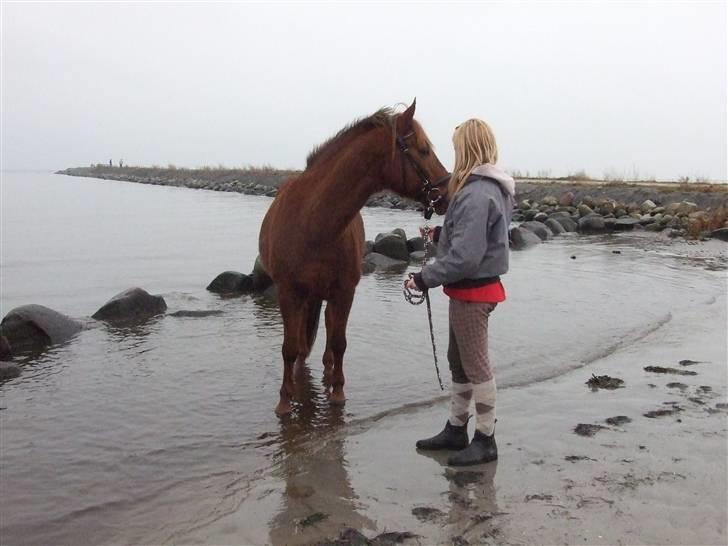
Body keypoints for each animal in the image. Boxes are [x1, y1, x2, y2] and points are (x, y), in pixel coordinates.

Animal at [256, 100, 450, 414]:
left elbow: (339, 342)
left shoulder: (345, 292)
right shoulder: (288, 292)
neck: (314, 222)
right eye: (423, 150)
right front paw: (285, 400)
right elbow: (289, 347)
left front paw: (337, 392)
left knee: (328, 329)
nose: (447, 191)